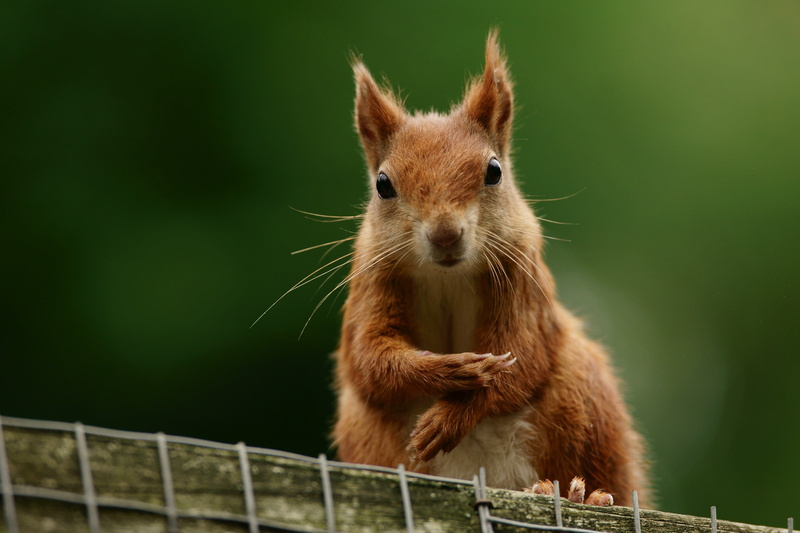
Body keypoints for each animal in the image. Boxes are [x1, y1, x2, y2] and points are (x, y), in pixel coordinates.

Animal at [330, 31, 650, 507]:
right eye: (383, 185)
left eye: (494, 171)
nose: (445, 235)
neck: (446, 276)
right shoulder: (372, 282)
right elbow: (371, 358)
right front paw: (451, 369)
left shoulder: (523, 282)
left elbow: (522, 356)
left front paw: (456, 411)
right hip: (362, 427)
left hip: (584, 399)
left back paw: (582, 495)